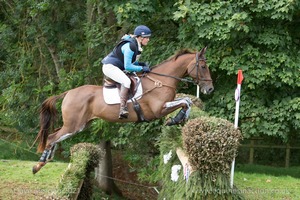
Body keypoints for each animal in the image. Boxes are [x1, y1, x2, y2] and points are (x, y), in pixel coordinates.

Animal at [32, 46, 213, 173]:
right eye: (203, 66)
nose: (210, 89)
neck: (161, 81)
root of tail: (68, 93)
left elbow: (187, 101)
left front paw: (179, 118)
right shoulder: (158, 110)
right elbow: (185, 101)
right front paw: (176, 119)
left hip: (80, 125)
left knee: (54, 136)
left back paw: (46, 160)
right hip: (74, 125)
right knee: (52, 137)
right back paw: (38, 165)